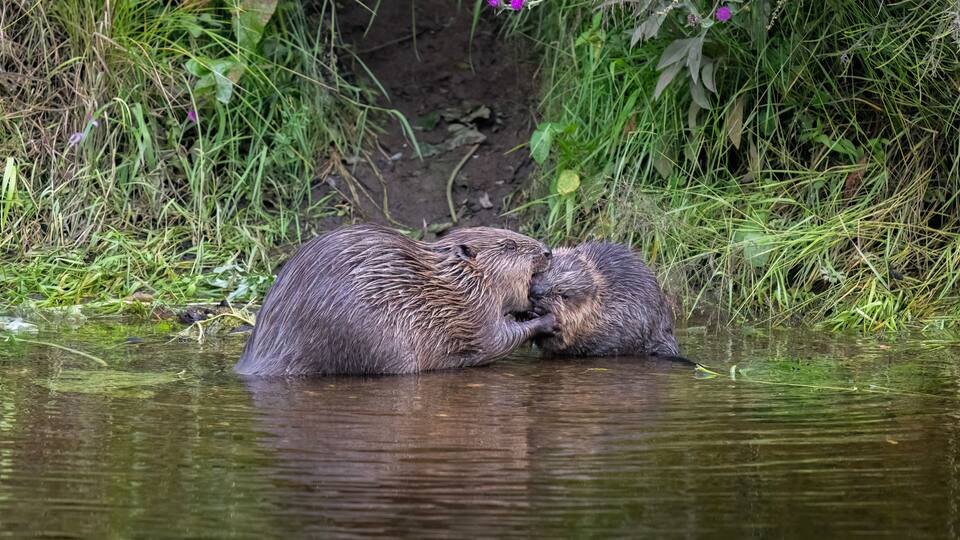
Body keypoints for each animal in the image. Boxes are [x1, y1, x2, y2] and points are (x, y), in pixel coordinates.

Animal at [234, 224, 557, 376]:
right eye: (509, 245)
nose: (547, 250)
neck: (459, 280)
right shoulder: (473, 312)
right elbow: (493, 341)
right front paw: (547, 319)